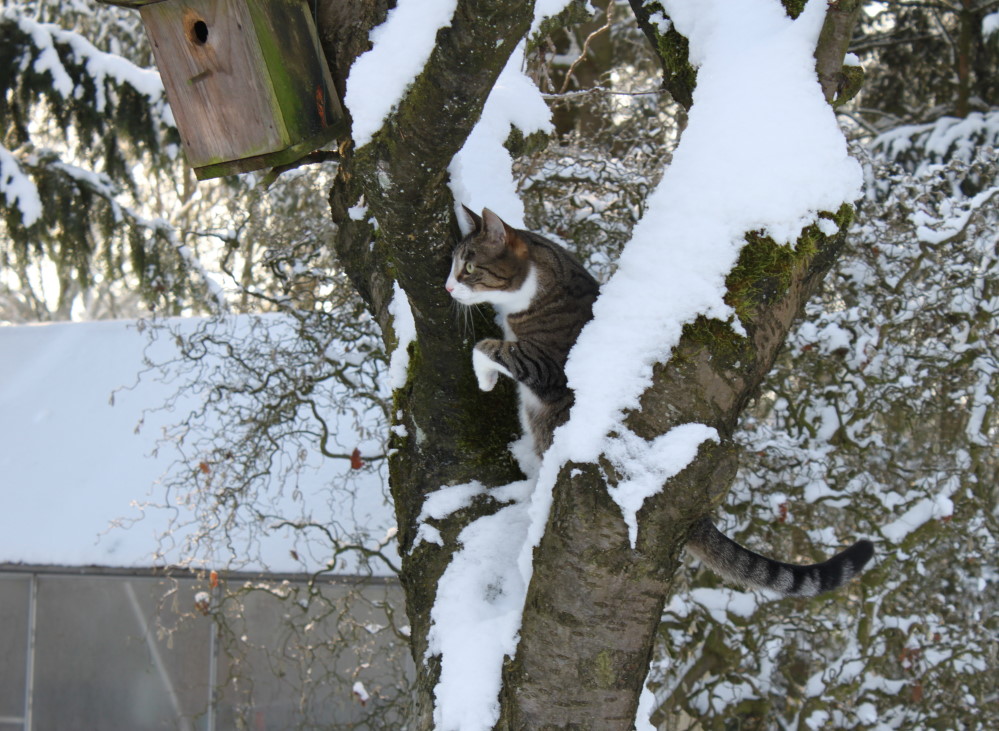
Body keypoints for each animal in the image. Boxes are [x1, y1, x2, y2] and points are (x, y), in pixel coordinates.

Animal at [448, 206, 876, 596]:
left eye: (469, 268)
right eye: (454, 267)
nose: (450, 288)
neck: (535, 286)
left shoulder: (548, 370)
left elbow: (487, 347)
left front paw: (485, 378)